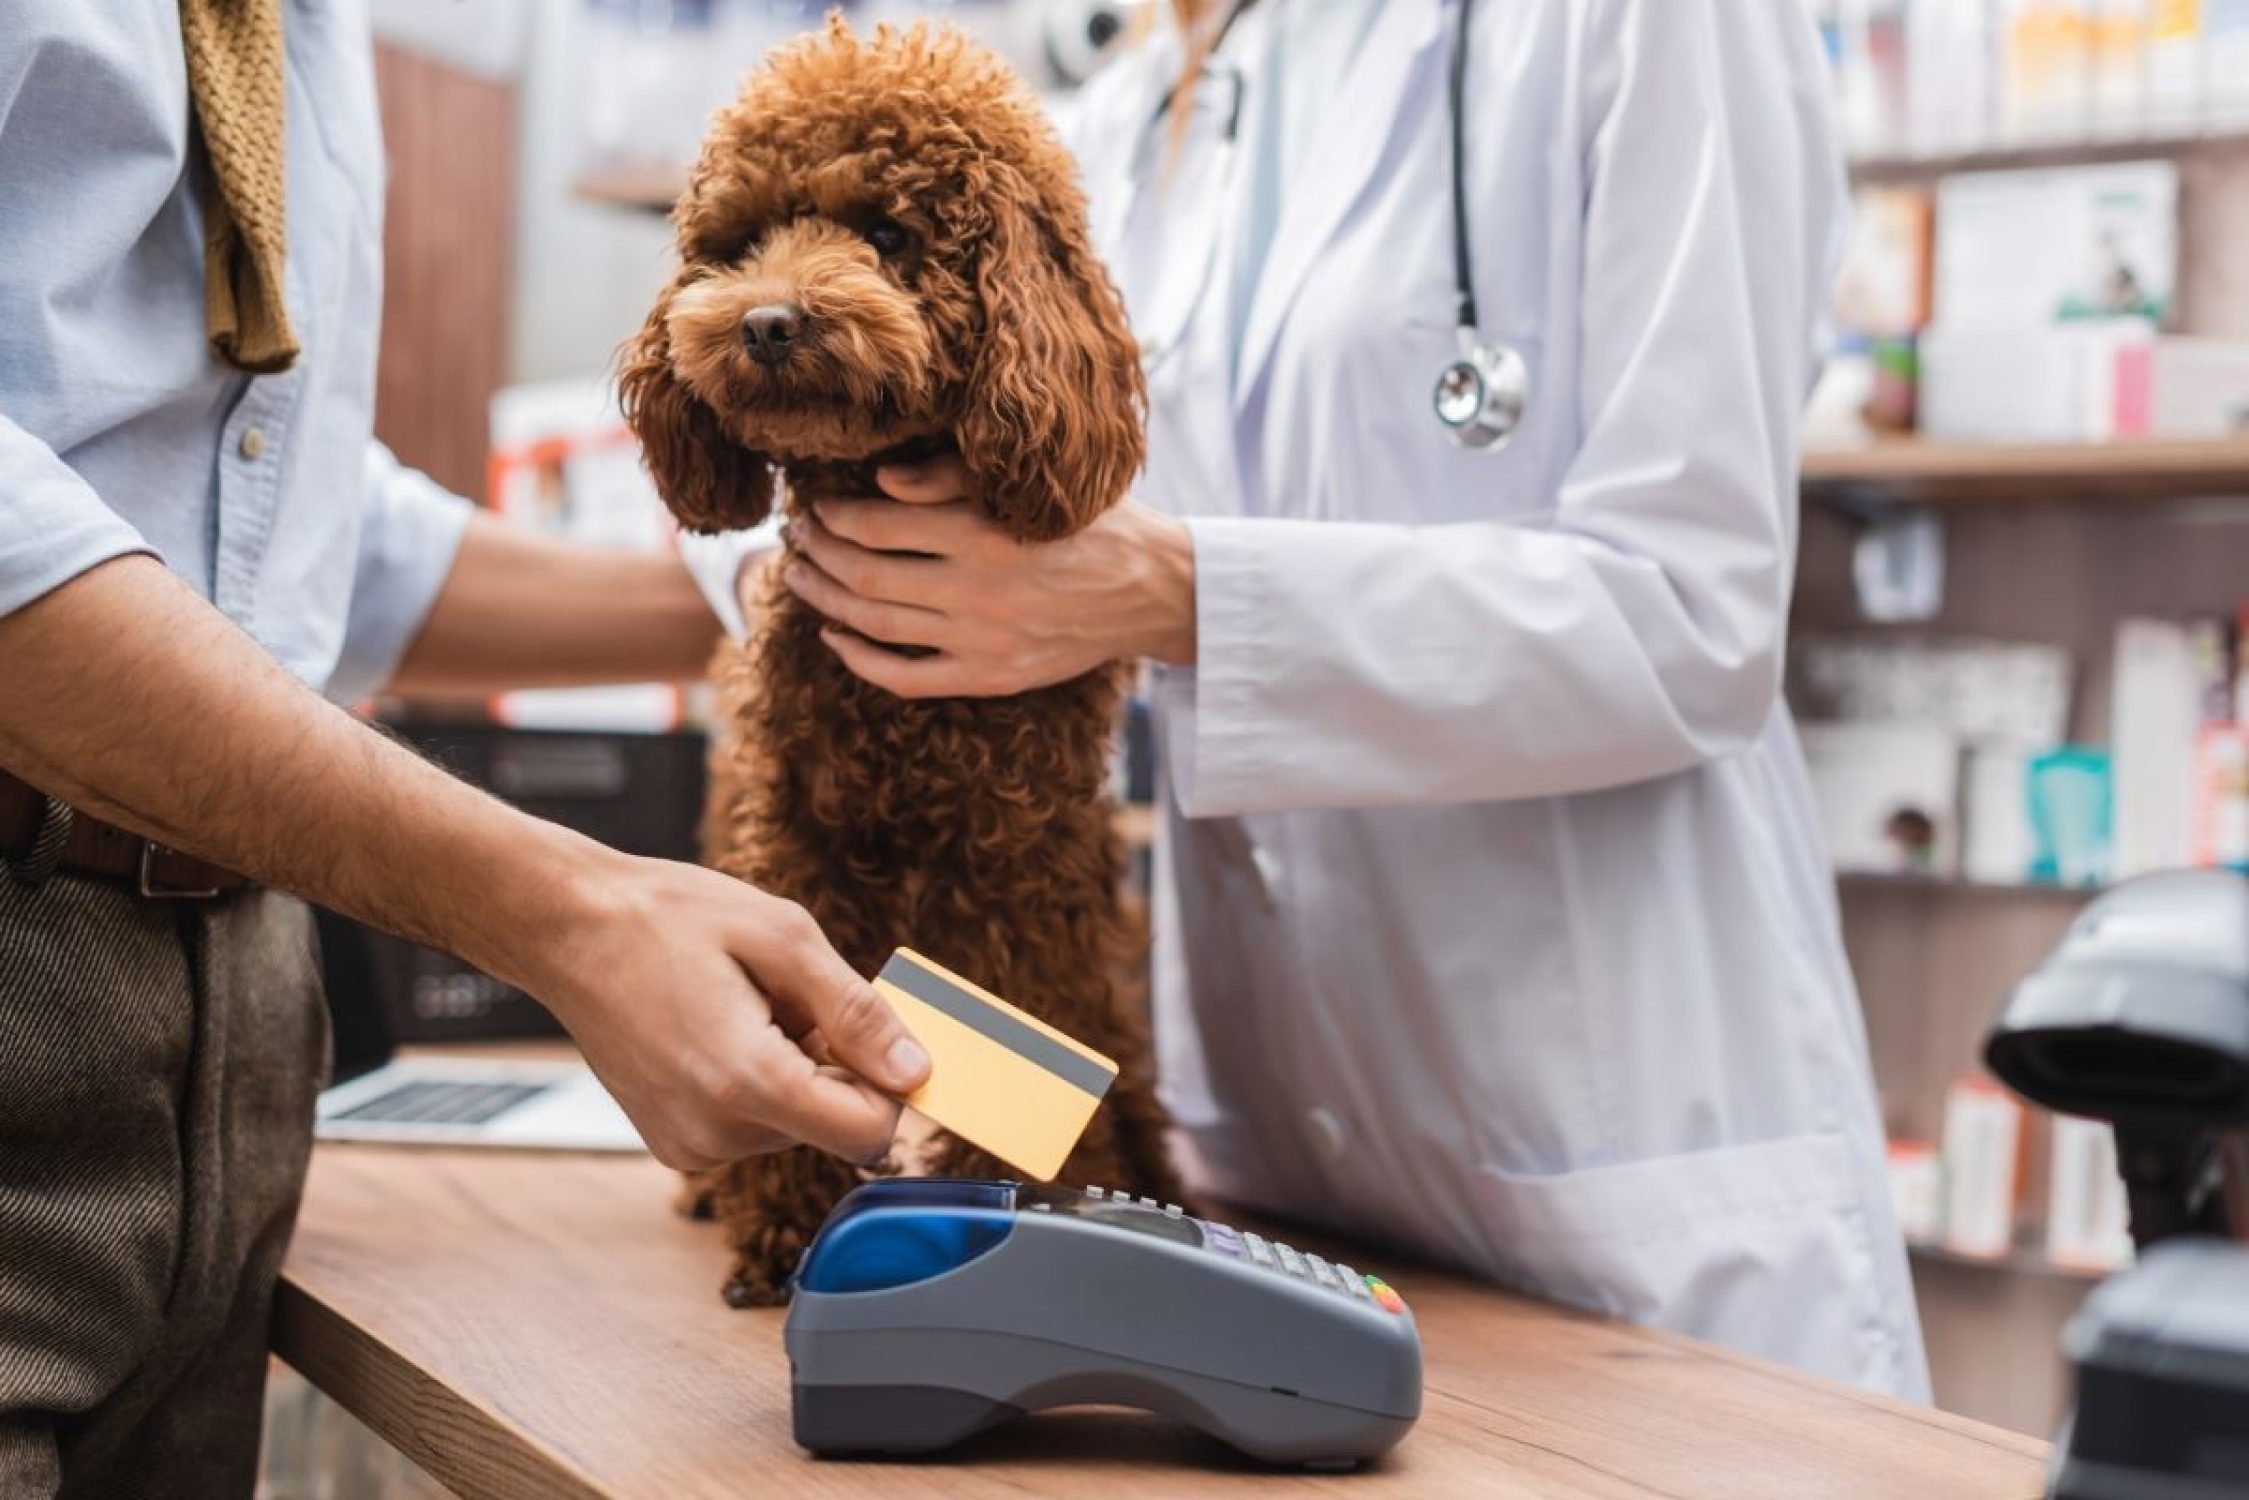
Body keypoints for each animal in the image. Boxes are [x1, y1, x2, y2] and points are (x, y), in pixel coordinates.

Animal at [616, 17, 1178, 1304]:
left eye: (887, 234)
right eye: (741, 242)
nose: (767, 322)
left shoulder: (1020, 861)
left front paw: (1012, 1209)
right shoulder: (803, 837)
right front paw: (779, 1219)